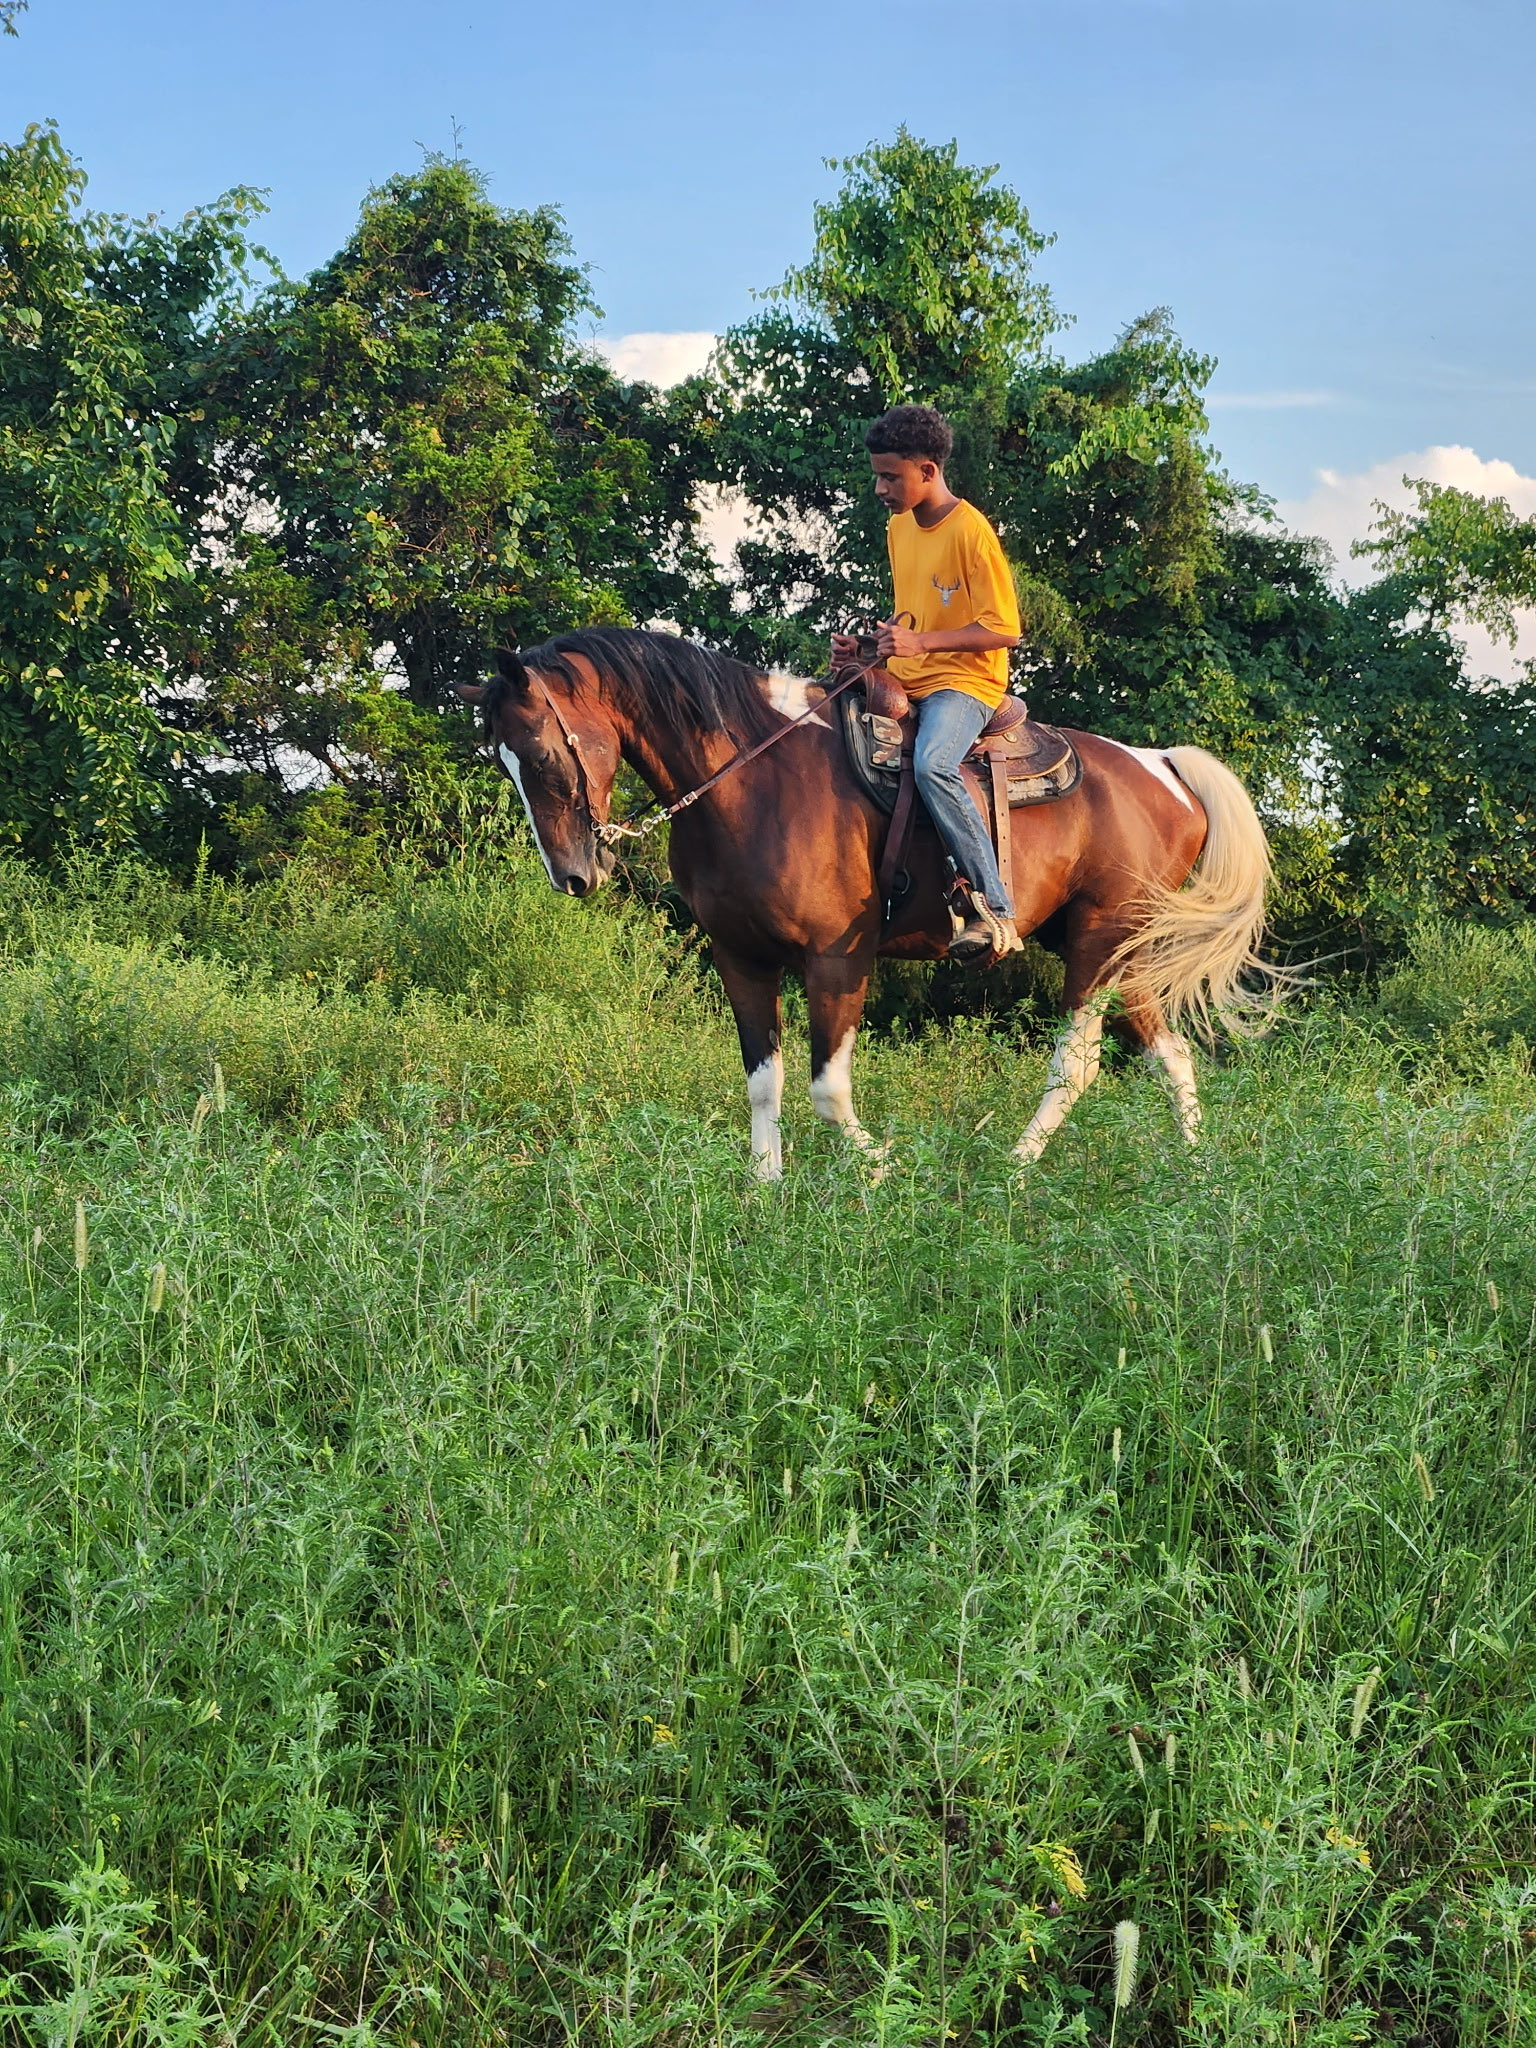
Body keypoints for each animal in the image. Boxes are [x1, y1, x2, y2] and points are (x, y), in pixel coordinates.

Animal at [457, 626, 1278, 1178]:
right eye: (502, 762)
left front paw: (878, 1167)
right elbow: (764, 1082)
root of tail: (1161, 766)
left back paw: (1012, 1170)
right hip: (1120, 952)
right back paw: (1195, 1172)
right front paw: (762, 1189)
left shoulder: (836, 959)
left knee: (1077, 1064)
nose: (572, 876)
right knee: (1169, 1053)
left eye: (541, 752)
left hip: (1100, 944)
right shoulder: (740, 958)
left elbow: (826, 1087)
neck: (750, 778)